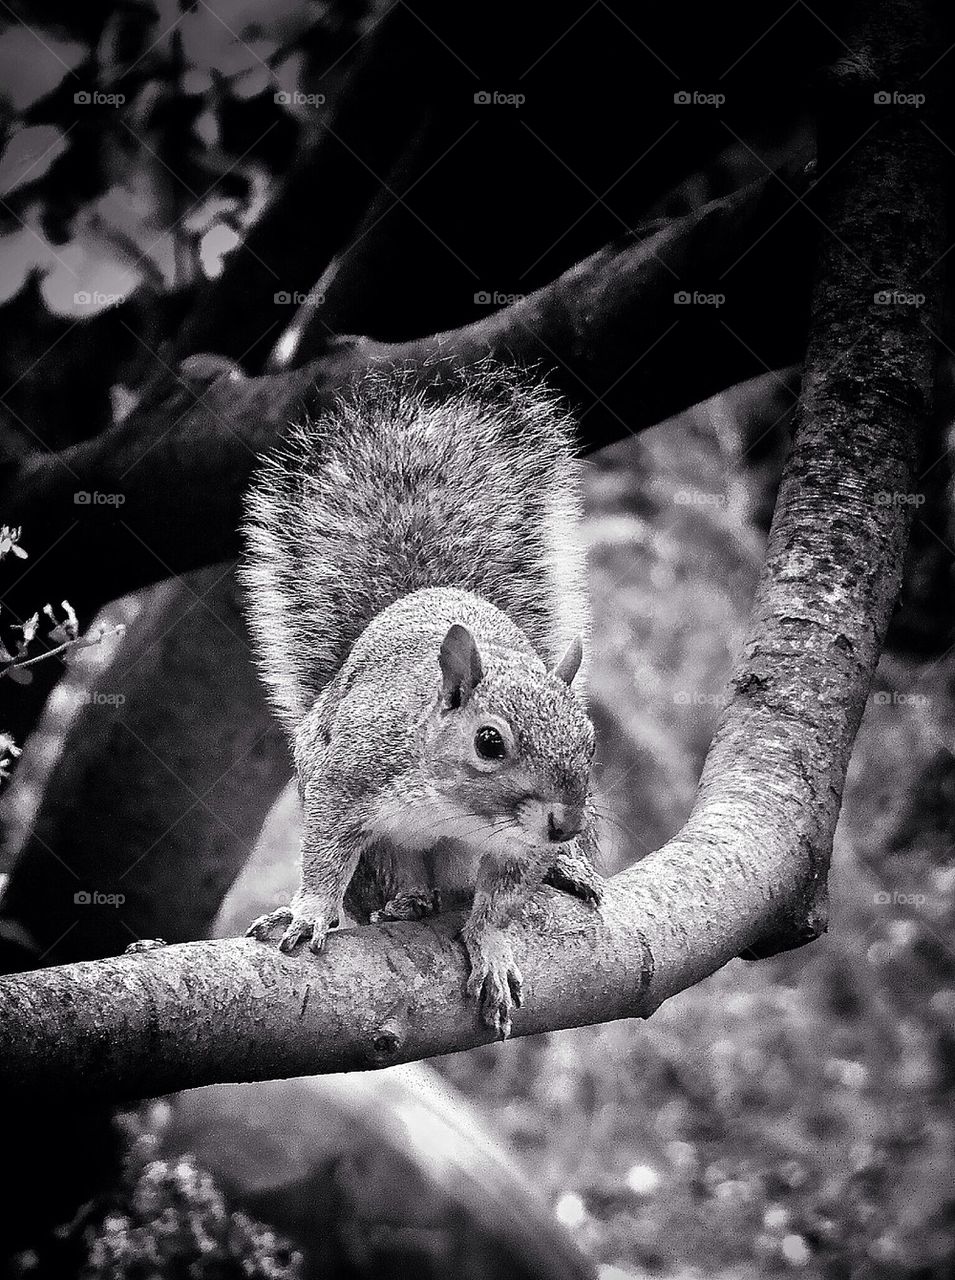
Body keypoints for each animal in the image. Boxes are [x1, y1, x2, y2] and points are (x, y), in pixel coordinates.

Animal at [241, 363, 599, 1039]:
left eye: (591, 743)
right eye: (489, 742)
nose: (565, 824)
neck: (457, 806)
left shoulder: (519, 847)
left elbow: (500, 904)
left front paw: (492, 948)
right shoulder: (352, 770)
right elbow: (325, 852)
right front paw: (310, 911)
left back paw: (567, 869)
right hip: (380, 849)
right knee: (396, 871)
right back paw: (409, 900)